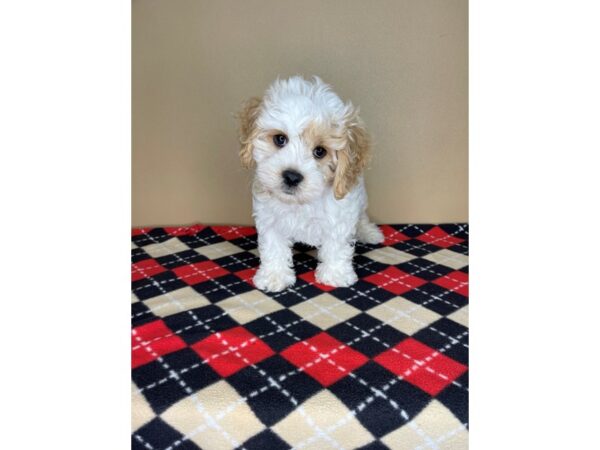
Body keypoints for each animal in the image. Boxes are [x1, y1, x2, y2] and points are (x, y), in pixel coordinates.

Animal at [237, 75, 382, 294]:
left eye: (320, 151)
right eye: (280, 139)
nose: (291, 176)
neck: (301, 202)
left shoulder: (340, 215)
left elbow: (336, 245)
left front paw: (335, 274)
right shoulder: (270, 218)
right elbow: (273, 247)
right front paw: (274, 275)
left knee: (362, 217)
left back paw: (369, 232)